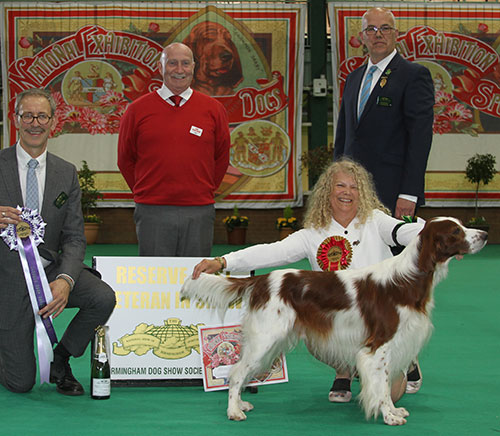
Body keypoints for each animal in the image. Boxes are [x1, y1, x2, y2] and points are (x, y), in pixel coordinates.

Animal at [182, 218, 486, 426]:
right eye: (456, 231)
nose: (484, 234)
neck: (408, 280)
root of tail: (262, 280)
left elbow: (386, 385)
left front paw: (393, 410)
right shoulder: (379, 345)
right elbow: (382, 386)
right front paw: (389, 416)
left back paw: (242, 404)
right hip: (265, 339)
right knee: (236, 372)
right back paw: (234, 410)